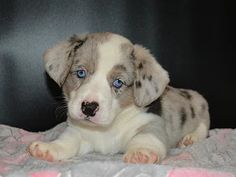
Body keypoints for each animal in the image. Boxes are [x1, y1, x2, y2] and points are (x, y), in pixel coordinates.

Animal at [28, 32, 209, 163]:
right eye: (81, 73)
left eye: (118, 82)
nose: (89, 108)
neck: (107, 128)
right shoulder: (78, 132)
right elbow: (67, 141)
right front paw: (48, 148)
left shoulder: (152, 121)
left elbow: (147, 136)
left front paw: (140, 152)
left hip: (200, 108)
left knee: (203, 128)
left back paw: (190, 138)